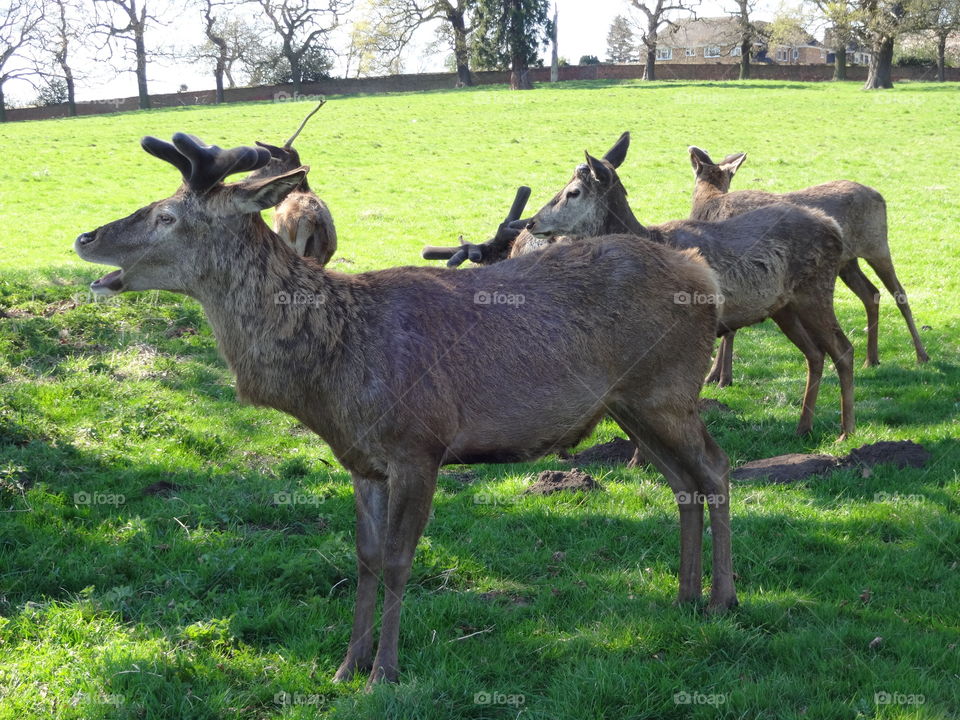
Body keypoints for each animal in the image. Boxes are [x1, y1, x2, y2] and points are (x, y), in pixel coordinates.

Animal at [75, 132, 736, 688]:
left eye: (167, 215)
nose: (85, 238)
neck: (332, 371)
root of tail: (703, 274)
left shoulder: (419, 444)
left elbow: (398, 560)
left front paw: (384, 673)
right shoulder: (361, 459)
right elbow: (365, 558)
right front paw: (347, 665)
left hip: (667, 389)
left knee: (715, 469)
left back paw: (723, 599)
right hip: (631, 404)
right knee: (681, 482)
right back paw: (684, 596)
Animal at [520, 133, 860, 442]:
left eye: (573, 192)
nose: (531, 222)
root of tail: (834, 228)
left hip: (816, 289)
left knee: (842, 348)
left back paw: (846, 431)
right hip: (784, 306)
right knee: (815, 353)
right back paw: (804, 427)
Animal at [688, 143, 928, 386]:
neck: (710, 205)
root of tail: (880, 196)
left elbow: (730, 330)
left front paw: (720, 377)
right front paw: (717, 376)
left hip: (877, 245)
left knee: (899, 293)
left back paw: (921, 355)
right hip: (848, 263)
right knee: (871, 293)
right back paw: (871, 359)